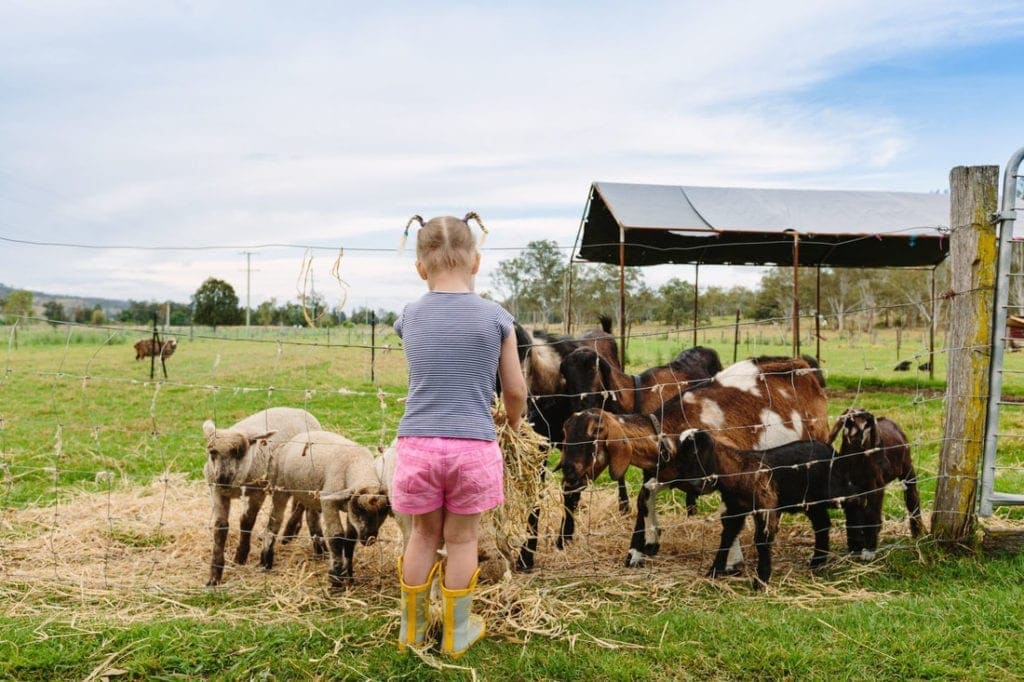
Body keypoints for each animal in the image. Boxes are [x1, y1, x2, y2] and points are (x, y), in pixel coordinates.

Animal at [202, 403, 321, 585]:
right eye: (212, 452)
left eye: (240, 452)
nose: (222, 479)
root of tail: (299, 410)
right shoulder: (216, 491)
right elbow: (220, 527)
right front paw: (215, 575)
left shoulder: (257, 491)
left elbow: (247, 521)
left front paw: (241, 556)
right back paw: (291, 532)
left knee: (300, 503)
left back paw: (288, 532)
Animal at [260, 430, 391, 585]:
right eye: (359, 509)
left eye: (383, 512)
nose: (369, 538)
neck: (357, 464)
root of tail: (295, 438)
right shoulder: (330, 503)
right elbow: (337, 537)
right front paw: (336, 578)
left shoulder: (349, 508)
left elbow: (350, 541)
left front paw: (349, 576)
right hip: (280, 487)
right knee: (275, 521)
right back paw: (266, 561)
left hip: (309, 492)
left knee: (311, 516)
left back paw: (320, 550)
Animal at [557, 356, 827, 569]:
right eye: (566, 433)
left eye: (594, 434)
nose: (569, 470)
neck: (672, 430)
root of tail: (804, 366)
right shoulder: (672, 473)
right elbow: (645, 495)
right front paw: (644, 547)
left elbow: (728, 515)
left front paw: (731, 563)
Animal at [827, 405, 925, 557]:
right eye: (848, 422)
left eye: (868, 424)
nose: (857, 438)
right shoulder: (851, 489)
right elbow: (853, 516)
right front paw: (855, 547)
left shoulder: (876, 486)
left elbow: (871, 514)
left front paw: (869, 548)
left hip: (907, 468)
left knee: (912, 496)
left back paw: (917, 532)